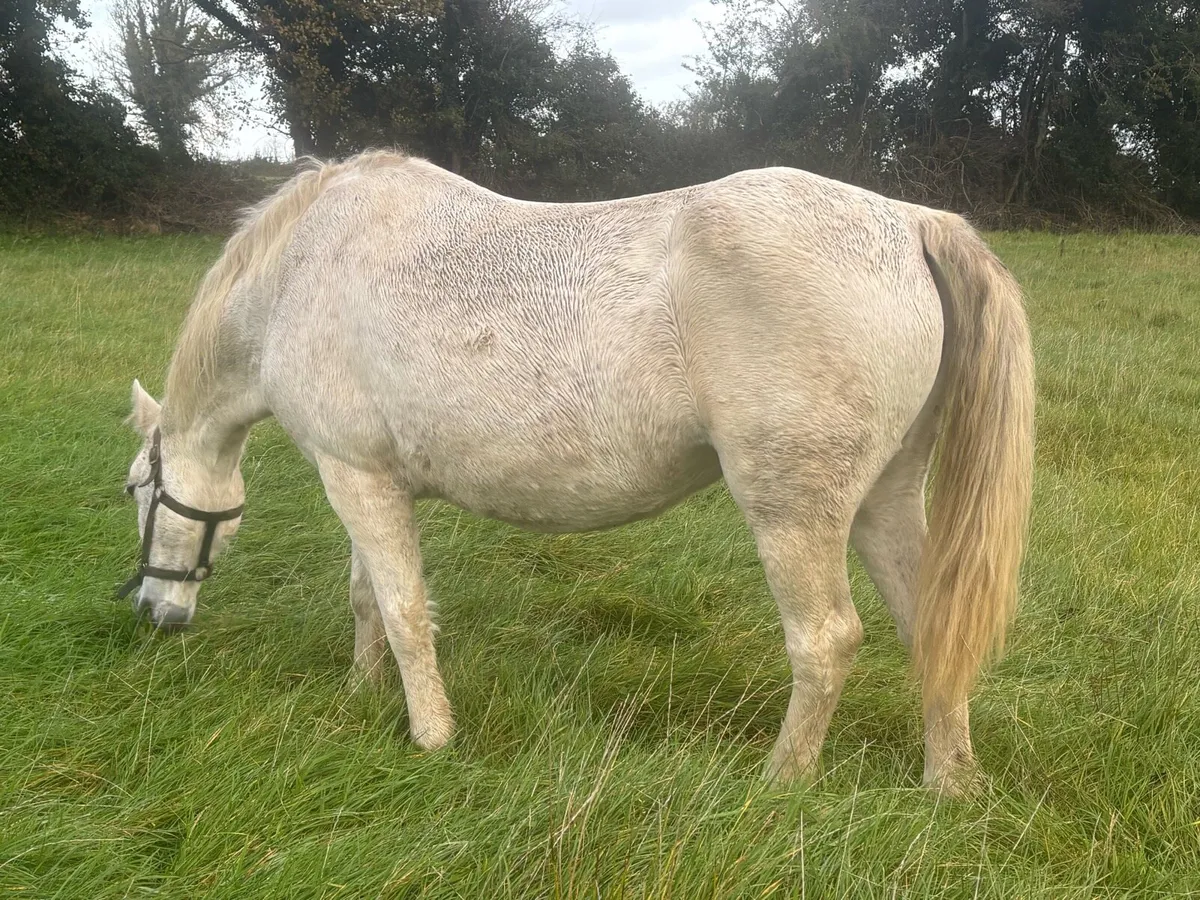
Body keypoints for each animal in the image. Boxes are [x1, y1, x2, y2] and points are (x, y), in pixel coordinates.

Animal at [119, 149, 1034, 795]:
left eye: (136, 489)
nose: (156, 612)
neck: (301, 270)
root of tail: (908, 221)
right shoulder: (366, 479)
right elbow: (367, 599)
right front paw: (359, 694)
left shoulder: (354, 478)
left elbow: (405, 611)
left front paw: (431, 736)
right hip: (884, 498)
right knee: (929, 626)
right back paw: (949, 782)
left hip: (795, 510)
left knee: (826, 641)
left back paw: (780, 784)